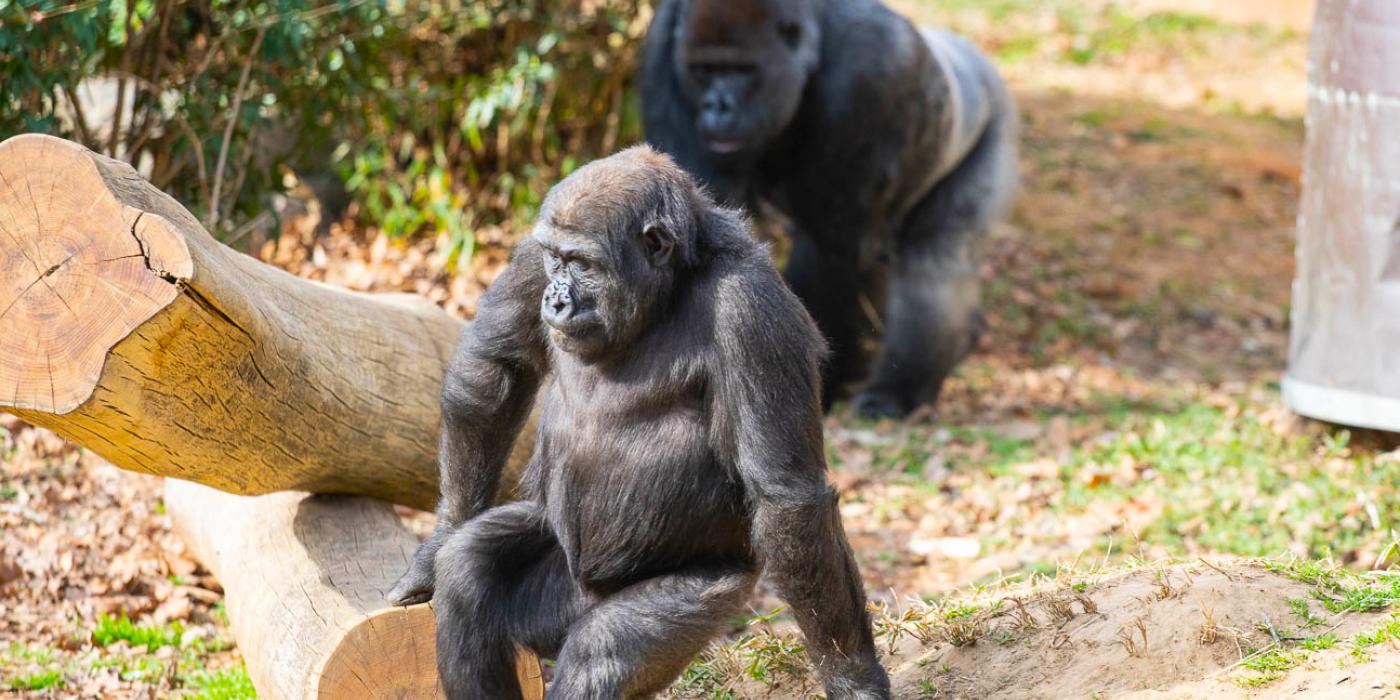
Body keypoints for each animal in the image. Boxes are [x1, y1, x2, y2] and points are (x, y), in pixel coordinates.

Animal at [383, 144, 884, 697]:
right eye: (556, 259)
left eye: (583, 264)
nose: (556, 299)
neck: (670, 285)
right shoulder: (532, 252)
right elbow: (497, 368)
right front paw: (438, 540)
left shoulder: (753, 309)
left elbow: (786, 495)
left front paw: (852, 676)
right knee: (469, 573)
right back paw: (459, 560)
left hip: (713, 590)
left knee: (600, 650)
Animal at [638, 0, 1019, 417]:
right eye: (704, 71)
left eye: (743, 71)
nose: (716, 106)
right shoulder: (660, 48)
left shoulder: (866, 74)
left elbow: (829, 250)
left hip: (991, 121)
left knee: (936, 260)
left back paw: (900, 388)